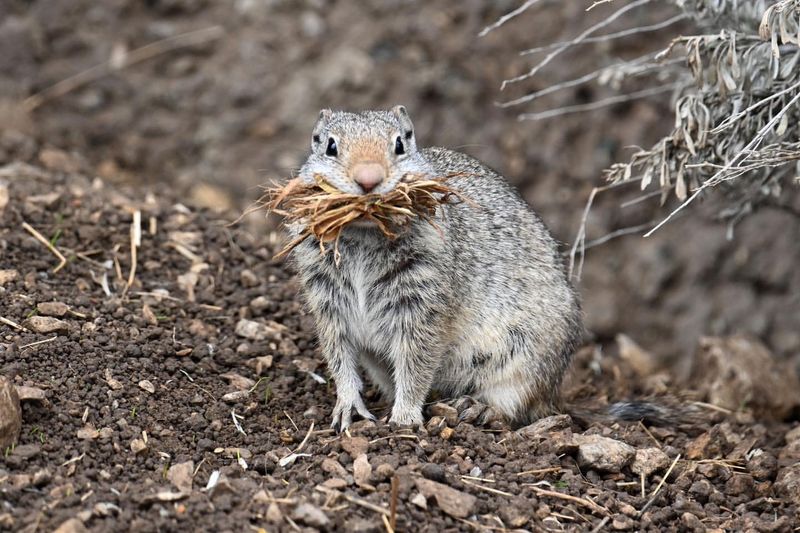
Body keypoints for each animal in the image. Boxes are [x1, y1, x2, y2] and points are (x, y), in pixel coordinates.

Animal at [286, 105, 580, 432]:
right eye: (330, 146)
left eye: (400, 143)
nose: (368, 179)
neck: (366, 231)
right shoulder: (328, 302)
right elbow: (340, 359)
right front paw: (347, 408)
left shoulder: (424, 303)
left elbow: (416, 364)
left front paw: (404, 418)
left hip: (525, 364)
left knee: (516, 406)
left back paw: (477, 408)